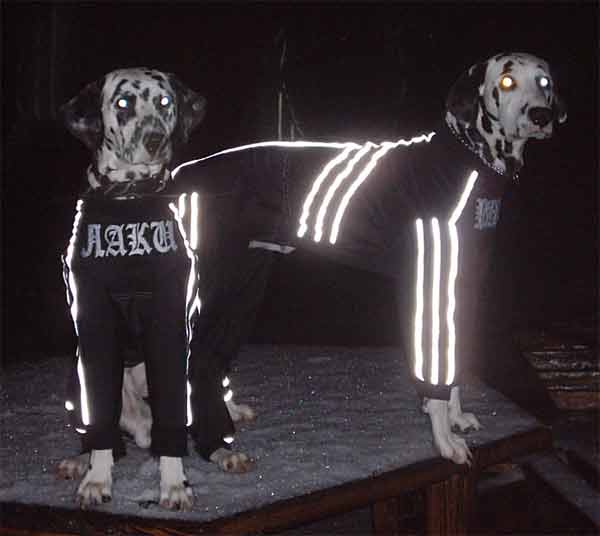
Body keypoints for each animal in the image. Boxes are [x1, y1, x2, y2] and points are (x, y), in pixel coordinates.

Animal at [58, 67, 252, 511]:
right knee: (108, 436)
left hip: (200, 366)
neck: (130, 200)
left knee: (204, 428)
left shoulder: (168, 322)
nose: (154, 139)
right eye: (123, 103)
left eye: (164, 102)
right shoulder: (94, 325)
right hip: (75, 377)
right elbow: (100, 428)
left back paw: (224, 451)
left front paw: (175, 485)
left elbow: (173, 428)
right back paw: (81, 461)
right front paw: (96, 479)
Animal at [169, 52, 567, 465]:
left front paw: (457, 417)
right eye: (506, 81)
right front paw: (445, 440)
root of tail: (182, 173)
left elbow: (453, 366)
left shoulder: (460, 285)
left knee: (215, 355)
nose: (541, 115)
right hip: (213, 289)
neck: (468, 160)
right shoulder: (430, 285)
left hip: (243, 292)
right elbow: (435, 378)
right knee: (195, 360)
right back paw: (216, 447)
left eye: (544, 82)